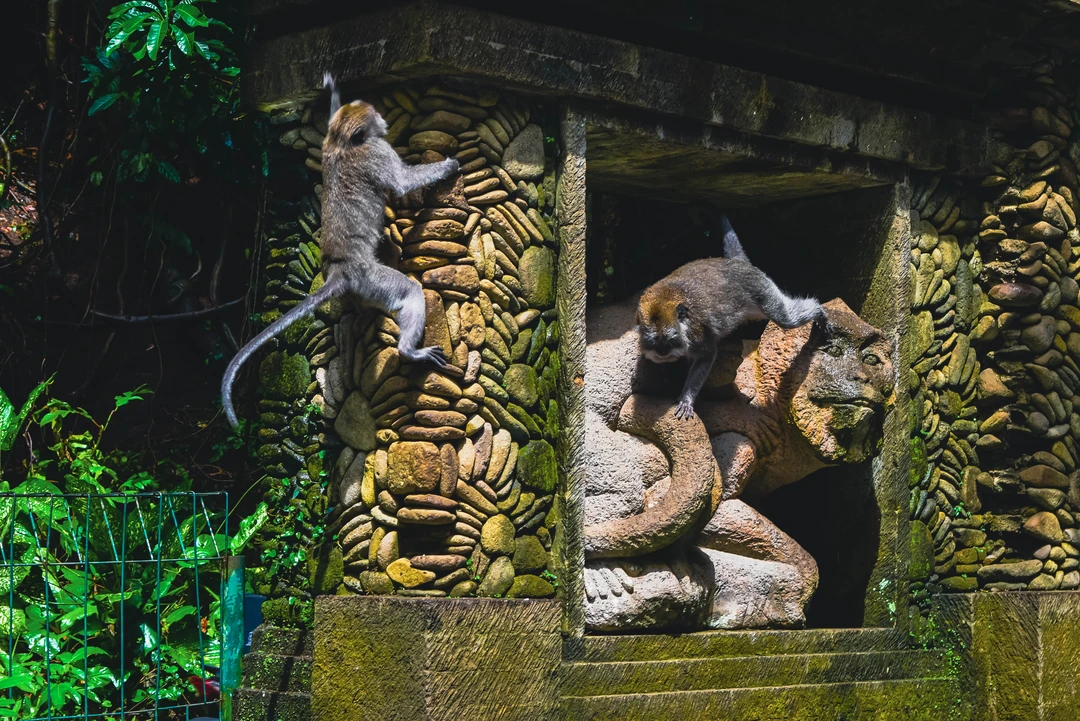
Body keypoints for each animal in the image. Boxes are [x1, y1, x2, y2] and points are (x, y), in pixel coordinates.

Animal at [221, 73, 459, 430]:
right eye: (374, 116)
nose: (383, 121)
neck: (344, 141)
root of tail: (338, 271)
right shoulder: (378, 151)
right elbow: (402, 182)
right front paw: (447, 167)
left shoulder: (329, 140)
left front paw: (332, 91)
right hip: (371, 279)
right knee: (409, 291)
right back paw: (409, 351)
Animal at [636, 215, 831, 421]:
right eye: (654, 341)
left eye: (670, 338)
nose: (662, 353)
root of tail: (738, 263)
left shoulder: (696, 335)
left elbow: (707, 356)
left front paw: (686, 398)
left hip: (761, 289)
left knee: (785, 318)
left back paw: (819, 312)